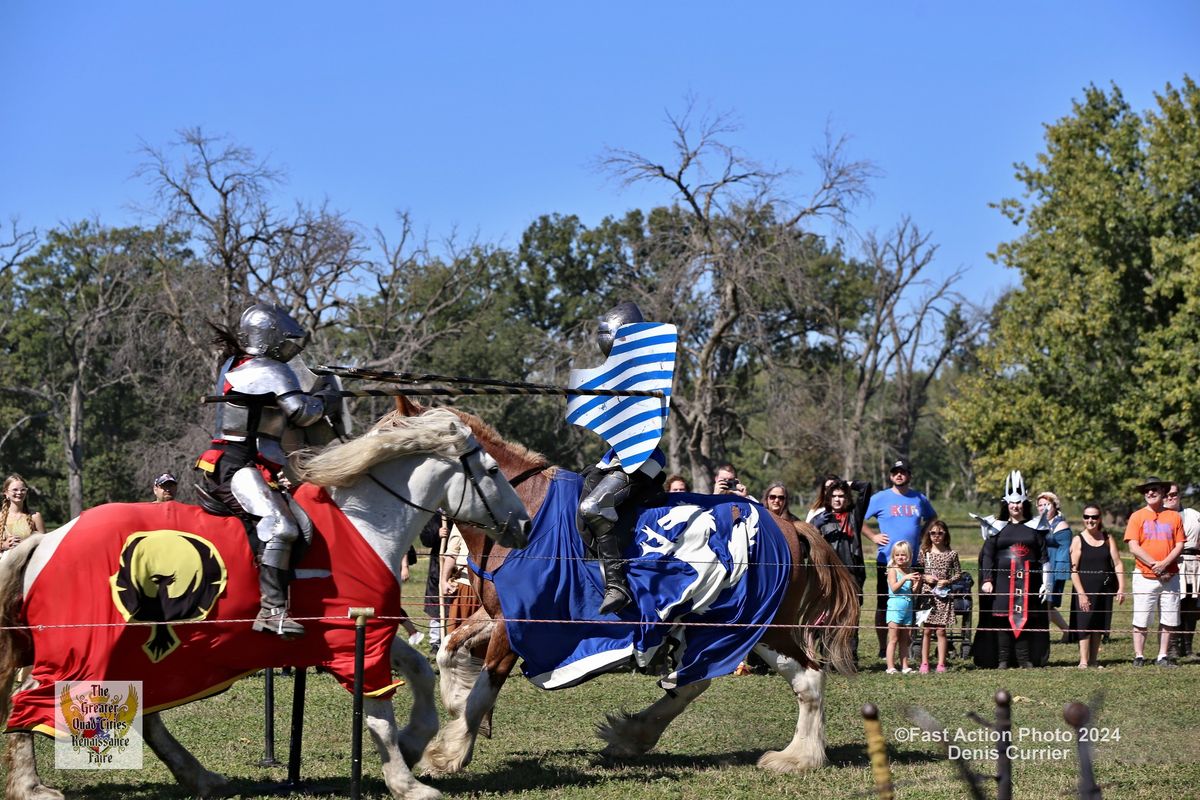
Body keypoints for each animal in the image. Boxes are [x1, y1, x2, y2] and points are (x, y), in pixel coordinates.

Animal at [0, 410, 528, 800]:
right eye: (493, 471)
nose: (523, 524)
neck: (364, 525)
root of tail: (48, 541)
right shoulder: (355, 642)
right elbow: (379, 711)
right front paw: (407, 782)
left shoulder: (361, 631)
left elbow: (417, 671)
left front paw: (417, 743)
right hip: (87, 650)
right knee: (28, 699)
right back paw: (31, 787)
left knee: (142, 709)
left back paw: (200, 777)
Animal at [393, 402, 864, 777]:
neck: (525, 510)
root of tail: (789, 525)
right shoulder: (498, 615)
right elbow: (449, 649)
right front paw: (457, 708)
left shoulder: (519, 624)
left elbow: (484, 687)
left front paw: (449, 753)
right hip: (717, 627)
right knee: (693, 680)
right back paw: (633, 734)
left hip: (763, 626)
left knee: (808, 678)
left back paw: (798, 758)